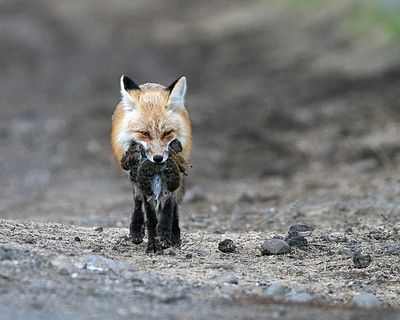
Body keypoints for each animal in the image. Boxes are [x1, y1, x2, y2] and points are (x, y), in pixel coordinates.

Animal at [111, 75, 192, 252]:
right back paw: (136, 228)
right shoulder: (142, 179)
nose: (158, 158)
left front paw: (167, 235)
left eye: (167, 133)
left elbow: (168, 209)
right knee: (137, 200)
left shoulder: (174, 176)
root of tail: (151, 85)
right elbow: (150, 215)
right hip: (133, 175)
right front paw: (152, 239)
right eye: (144, 133)